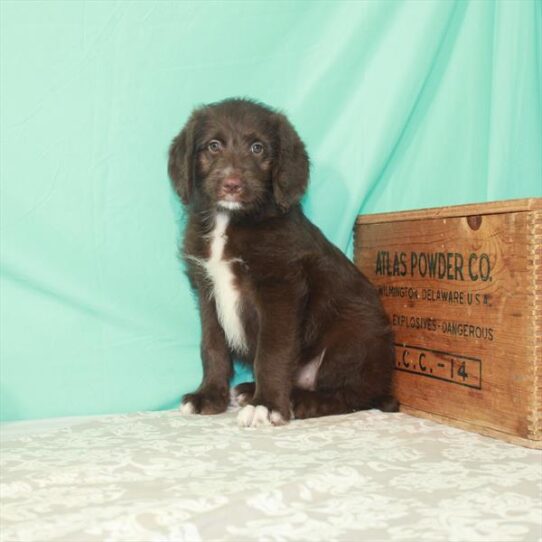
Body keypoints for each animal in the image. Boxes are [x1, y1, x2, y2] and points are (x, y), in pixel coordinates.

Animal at [168, 98, 398, 430]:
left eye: (258, 148)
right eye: (213, 145)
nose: (232, 185)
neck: (230, 220)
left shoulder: (280, 287)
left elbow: (272, 351)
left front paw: (266, 405)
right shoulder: (207, 289)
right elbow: (212, 346)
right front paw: (209, 396)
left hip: (353, 338)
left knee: (351, 395)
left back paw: (300, 401)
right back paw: (250, 389)